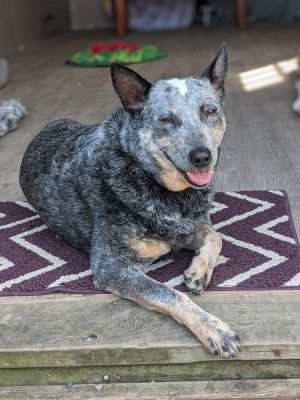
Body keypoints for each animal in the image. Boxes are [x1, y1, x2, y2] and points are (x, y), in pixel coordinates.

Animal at [19, 43, 241, 356]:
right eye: (166, 119)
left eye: (209, 111)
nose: (202, 157)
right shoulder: (112, 267)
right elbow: (171, 294)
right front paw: (212, 328)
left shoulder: (188, 227)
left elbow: (216, 236)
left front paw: (198, 271)